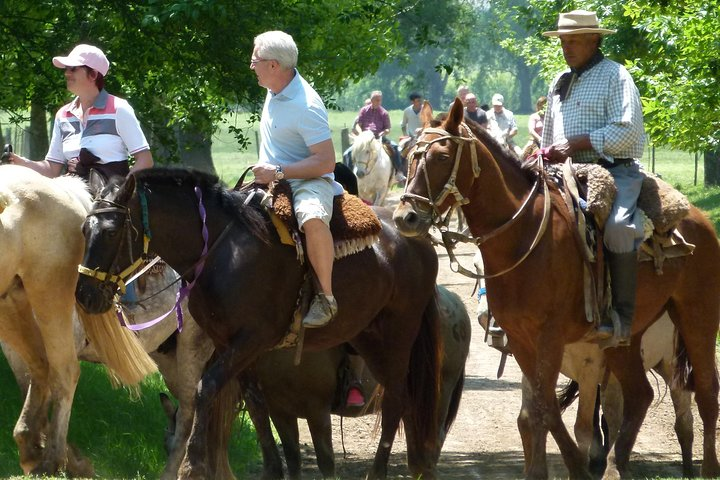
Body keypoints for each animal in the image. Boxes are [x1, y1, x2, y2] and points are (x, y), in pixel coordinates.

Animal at [0, 166, 156, 476]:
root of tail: (60, 187)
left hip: (48, 296)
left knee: (63, 371)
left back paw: (52, 458)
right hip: (10, 303)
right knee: (40, 367)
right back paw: (36, 447)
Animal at [74, 169, 444, 480]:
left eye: (111, 231)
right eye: (83, 230)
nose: (84, 295)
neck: (223, 251)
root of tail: (412, 236)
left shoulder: (250, 339)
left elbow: (204, 389)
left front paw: (195, 464)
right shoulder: (231, 345)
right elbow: (256, 405)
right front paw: (271, 470)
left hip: (397, 335)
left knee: (396, 399)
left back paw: (379, 471)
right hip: (367, 334)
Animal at [394, 99, 720, 478]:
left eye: (442, 156)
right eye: (410, 156)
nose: (405, 218)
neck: (525, 234)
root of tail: (699, 220)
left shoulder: (550, 337)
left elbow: (546, 410)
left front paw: (577, 468)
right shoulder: (522, 341)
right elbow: (541, 409)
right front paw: (550, 470)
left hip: (698, 316)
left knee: (706, 391)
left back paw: (707, 467)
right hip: (627, 337)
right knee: (639, 395)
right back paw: (614, 465)